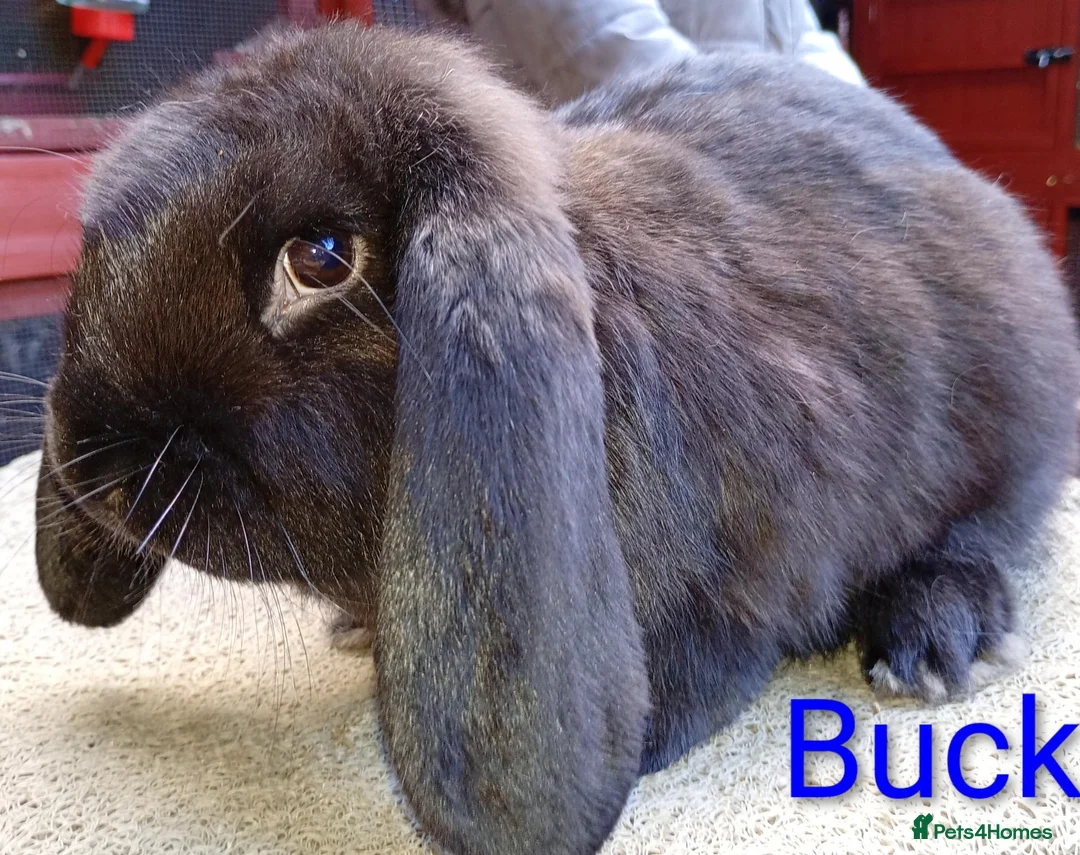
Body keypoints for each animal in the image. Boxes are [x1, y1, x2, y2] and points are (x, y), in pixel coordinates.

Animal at [33, 21, 1080, 855]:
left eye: (320, 258)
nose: (97, 468)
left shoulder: (747, 573)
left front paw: (647, 736)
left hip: (1011, 412)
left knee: (994, 528)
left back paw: (935, 637)